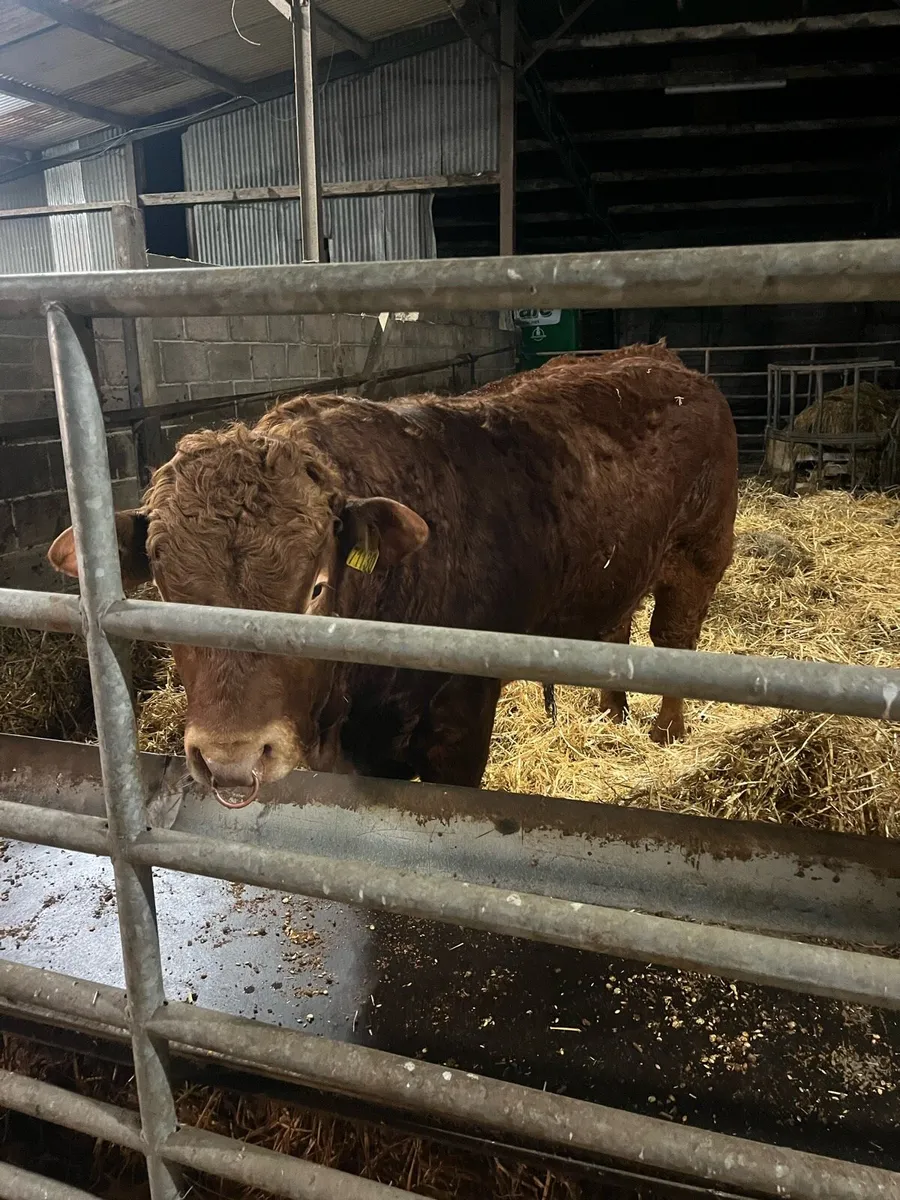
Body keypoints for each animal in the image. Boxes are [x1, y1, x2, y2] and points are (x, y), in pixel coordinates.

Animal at [48, 343, 738, 797]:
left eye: (317, 589)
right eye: (167, 595)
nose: (231, 759)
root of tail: (665, 362)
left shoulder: (461, 716)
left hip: (700, 552)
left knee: (674, 637)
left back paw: (665, 734)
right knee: (616, 631)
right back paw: (610, 717)